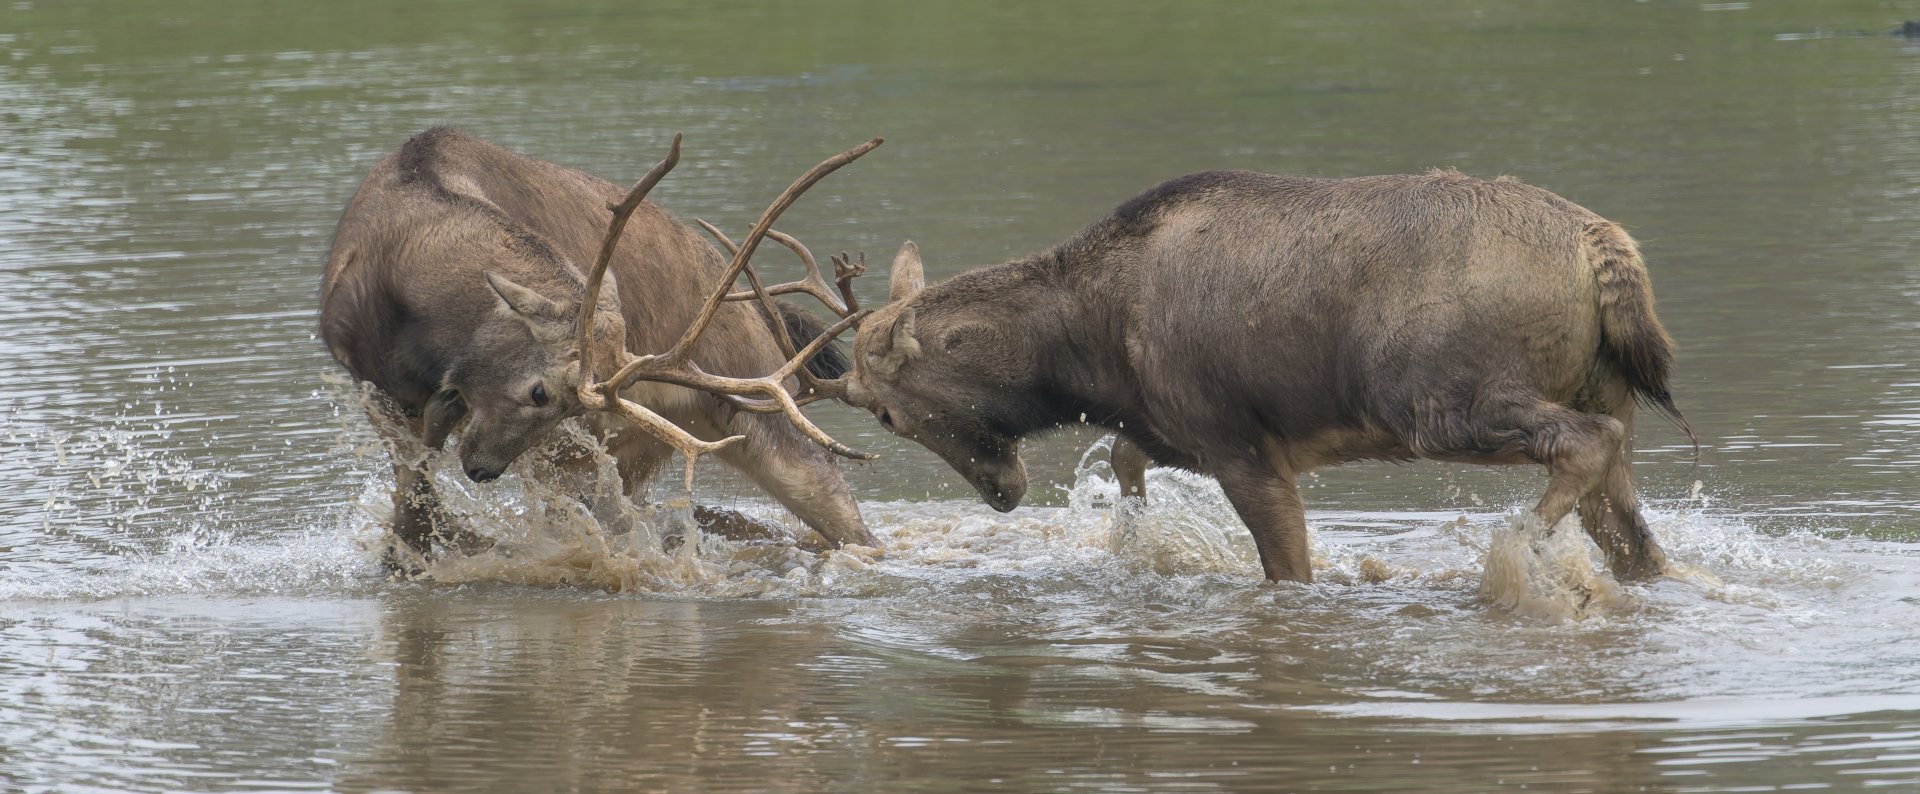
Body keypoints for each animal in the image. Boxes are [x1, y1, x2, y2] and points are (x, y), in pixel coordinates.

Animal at [319, 128, 881, 567]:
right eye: (541, 392)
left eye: (562, 404)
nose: (481, 469)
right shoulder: (372, 384)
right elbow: (414, 489)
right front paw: (414, 551)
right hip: (648, 444)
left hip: (742, 403)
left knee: (840, 505)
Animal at [843, 169, 1694, 584]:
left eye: (885, 414)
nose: (1002, 492)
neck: (1087, 357)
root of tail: (1603, 244)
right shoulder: (1171, 428)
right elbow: (1124, 458)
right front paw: (1139, 532)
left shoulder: (1235, 438)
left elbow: (1288, 567)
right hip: (1602, 389)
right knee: (1633, 534)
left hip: (1440, 401)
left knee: (1586, 445)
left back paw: (1516, 547)